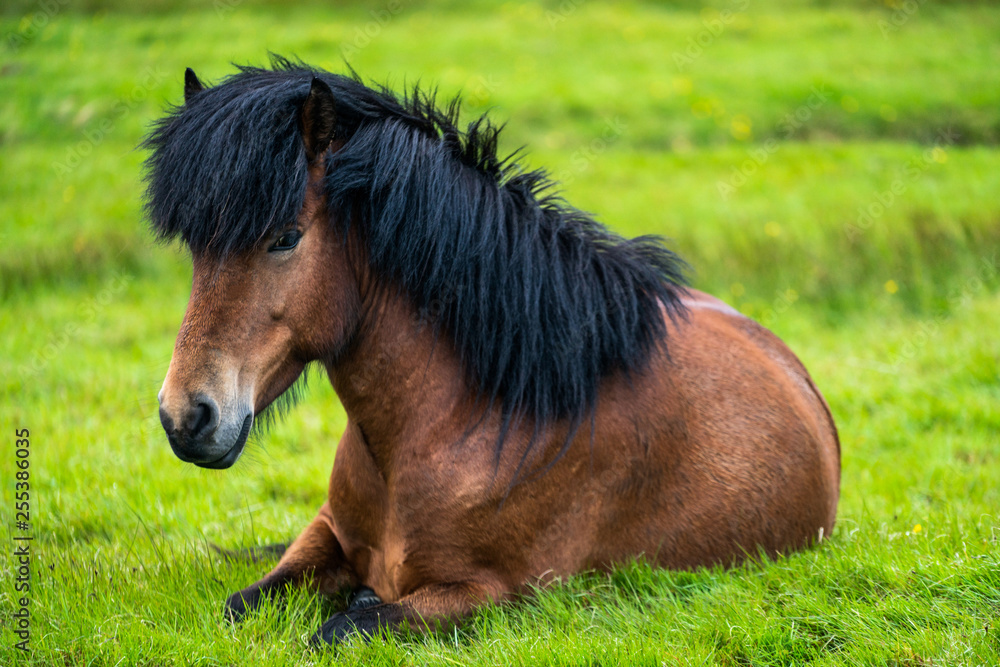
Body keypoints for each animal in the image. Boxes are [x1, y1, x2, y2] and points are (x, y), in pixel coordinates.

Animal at [145, 58, 840, 648]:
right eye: (196, 247)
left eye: (286, 238)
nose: (186, 417)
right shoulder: (325, 531)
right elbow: (241, 603)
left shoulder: (499, 595)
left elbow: (343, 628)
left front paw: (357, 605)